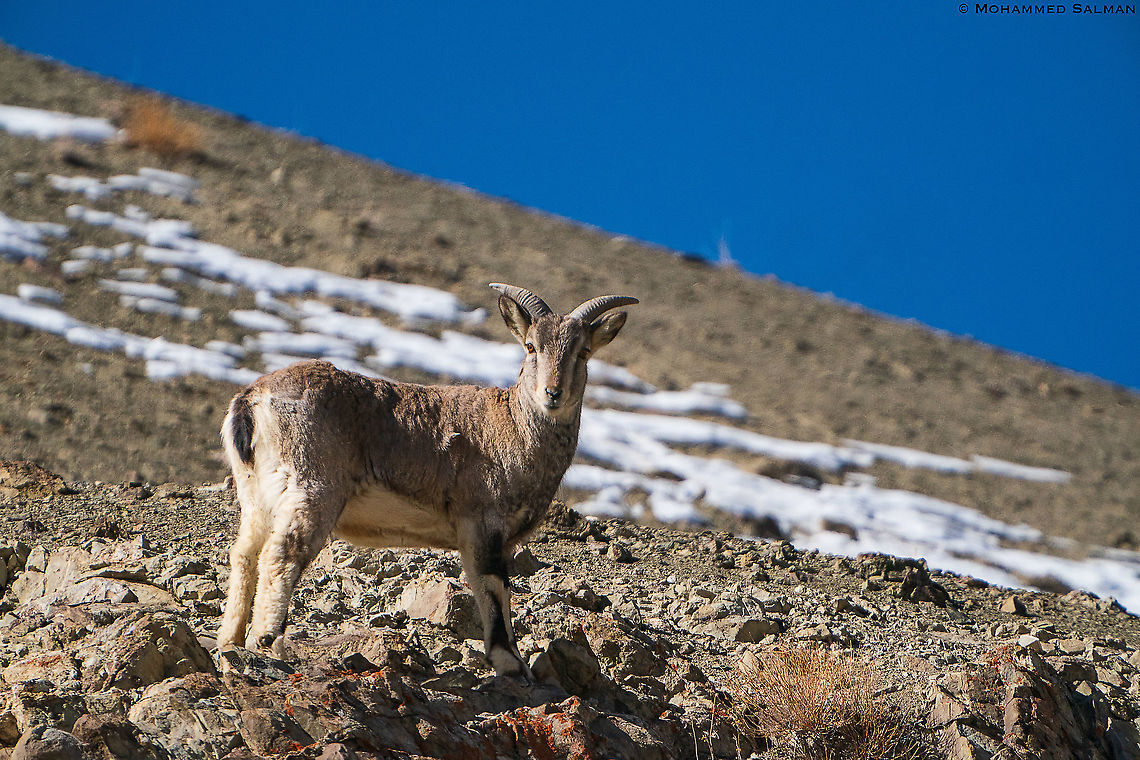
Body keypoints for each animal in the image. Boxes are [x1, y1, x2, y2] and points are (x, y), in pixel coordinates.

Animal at [216, 283, 637, 678]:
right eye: (531, 346)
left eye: (583, 352)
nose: (552, 393)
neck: (515, 427)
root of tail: (251, 400)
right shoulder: (482, 520)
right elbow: (492, 584)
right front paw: (510, 662)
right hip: (311, 487)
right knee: (281, 553)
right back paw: (267, 643)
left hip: (257, 494)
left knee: (245, 554)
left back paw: (229, 643)